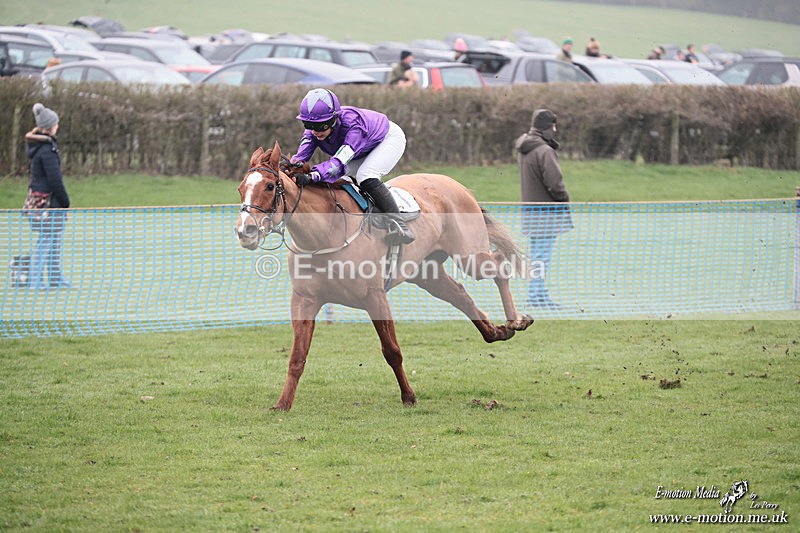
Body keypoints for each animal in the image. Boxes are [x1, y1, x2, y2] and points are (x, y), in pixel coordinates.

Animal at [235, 142, 534, 411]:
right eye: (241, 189)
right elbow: (297, 357)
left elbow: (392, 351)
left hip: (470, 256)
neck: (325, 233)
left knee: (499, 264)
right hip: (426, 273)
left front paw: (409, 397)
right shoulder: (304, 300)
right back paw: (497, 331)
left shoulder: (374, 297)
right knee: (460, 295)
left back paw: (516, 320)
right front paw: (283, 404)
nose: (244, 231)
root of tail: (456, 185)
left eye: (270, 186)